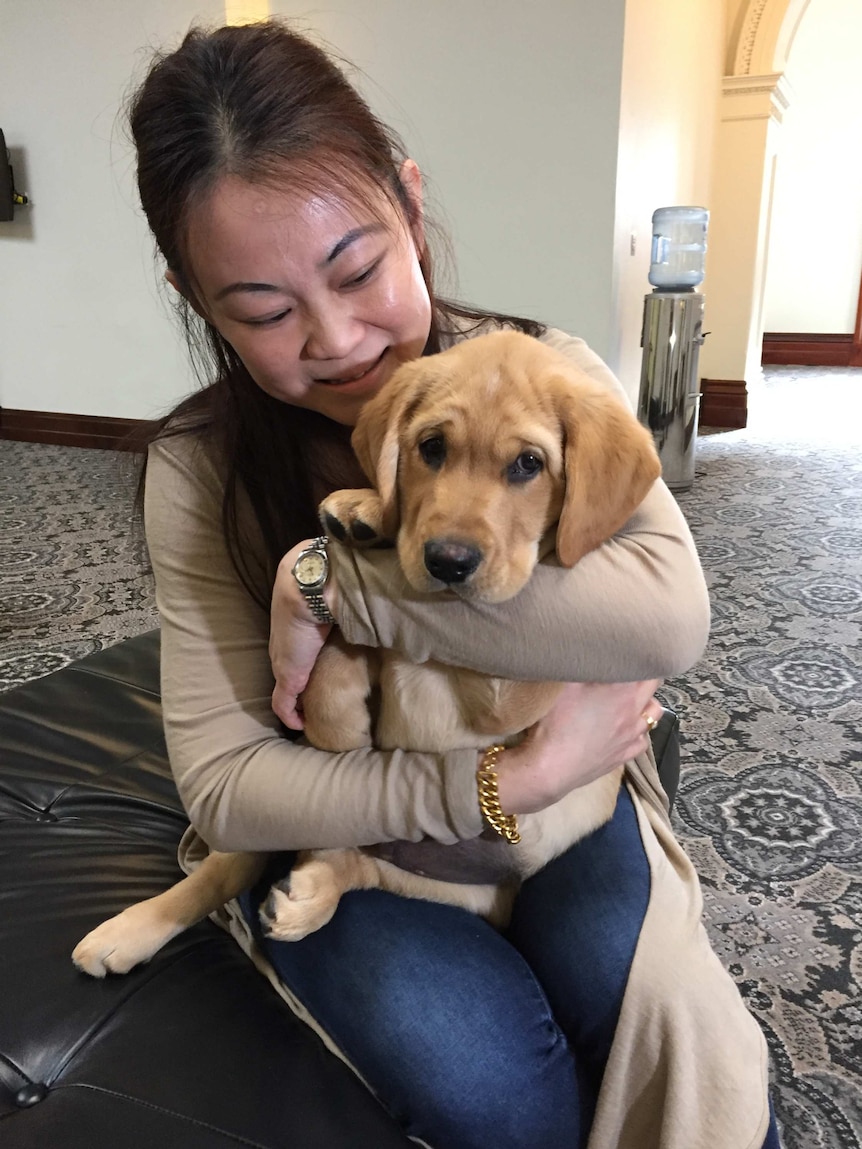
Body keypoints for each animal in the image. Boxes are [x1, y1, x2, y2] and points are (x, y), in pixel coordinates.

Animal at [72, 326, 662, 978]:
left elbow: (390, 642)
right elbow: (339, 652)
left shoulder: (511, 679)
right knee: (243, 863)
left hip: (465, 889)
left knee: (355, 865)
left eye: (529, 464)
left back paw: (306, 895)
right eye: (432, 448)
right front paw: (369, 513)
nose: (448, 562)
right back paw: (133, 930)